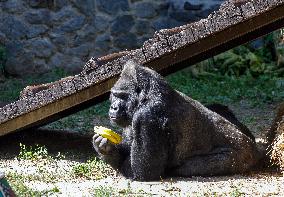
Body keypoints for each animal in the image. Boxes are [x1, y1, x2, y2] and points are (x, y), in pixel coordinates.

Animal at [92, 60, 258, 181]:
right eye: (114, 95)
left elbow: (144, 173)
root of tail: (252, 145)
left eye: (122, 96)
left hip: (240, 158)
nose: (113, 107)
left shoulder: (146, 116)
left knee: (188, 167)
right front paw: (106, 148)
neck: (146, 95)